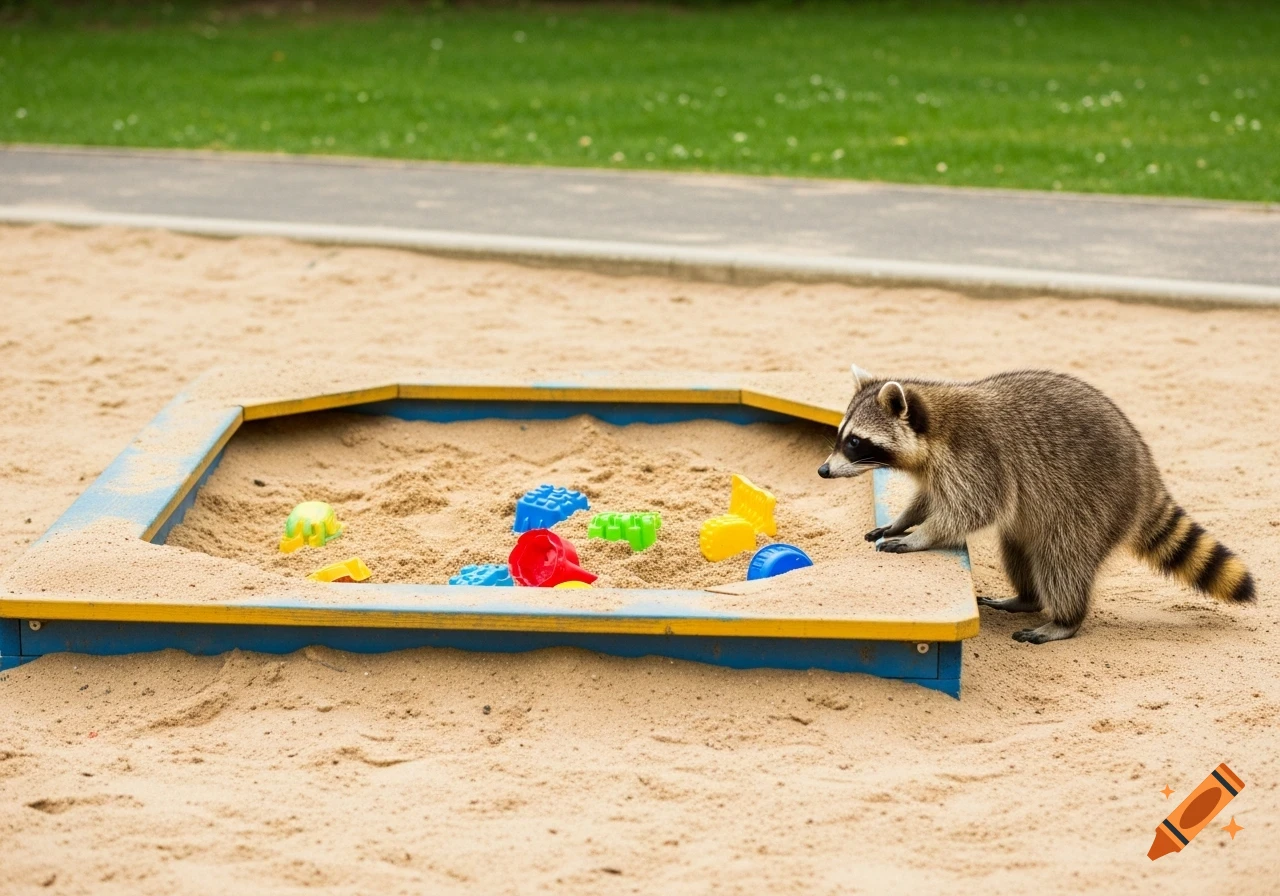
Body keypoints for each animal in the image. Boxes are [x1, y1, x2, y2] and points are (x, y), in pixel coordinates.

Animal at [818, 365, 1255, 643]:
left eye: (854, 442)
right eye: (841, 435)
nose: (823, 470)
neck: (936, 426)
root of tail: (1147, 475)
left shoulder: (978, 457)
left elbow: (973, 509)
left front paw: (920, 536)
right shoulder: (940, 469)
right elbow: (930, 499)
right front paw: (902, 521)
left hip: (1093, 506)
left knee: (1061, 560)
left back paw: (1065, 618)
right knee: (1018, 549)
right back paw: (1027, 597)